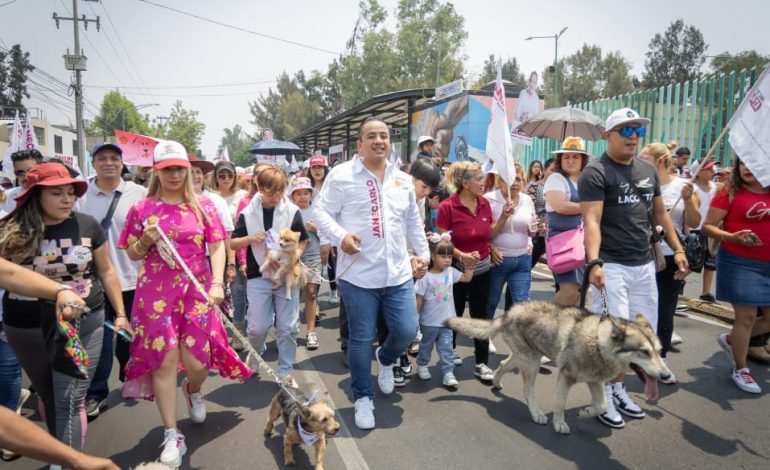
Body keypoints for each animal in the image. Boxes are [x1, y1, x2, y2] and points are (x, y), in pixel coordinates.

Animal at [448, 302, 668, 434]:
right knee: (528, 391)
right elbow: (560, 404)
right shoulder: (565, 376)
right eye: (644, 352)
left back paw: (495, 382)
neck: (598, 342)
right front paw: (560, 424)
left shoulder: (594, 380)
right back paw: (536, 414)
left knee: (503, 365)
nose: (666, 375)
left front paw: (585, 413)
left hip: (528, 358)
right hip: (531, 364)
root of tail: (508, 312)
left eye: (659, 351)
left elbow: (602, 406)